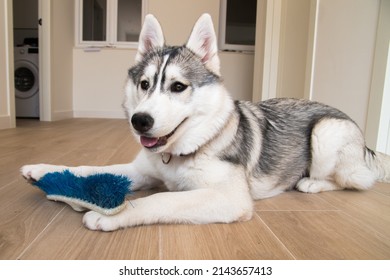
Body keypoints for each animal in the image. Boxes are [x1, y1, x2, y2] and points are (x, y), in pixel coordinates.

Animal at [22, 14, 390, 231]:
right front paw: (43, 170)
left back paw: (312, 183)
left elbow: (161, 200)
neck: (180, 152)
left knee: (356, 180)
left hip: (327, 132)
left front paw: (113, 213)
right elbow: (89, 168)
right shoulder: (141, 170)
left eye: (178, 87)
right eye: (144, 84)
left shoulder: (228, 198)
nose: (140, 121)